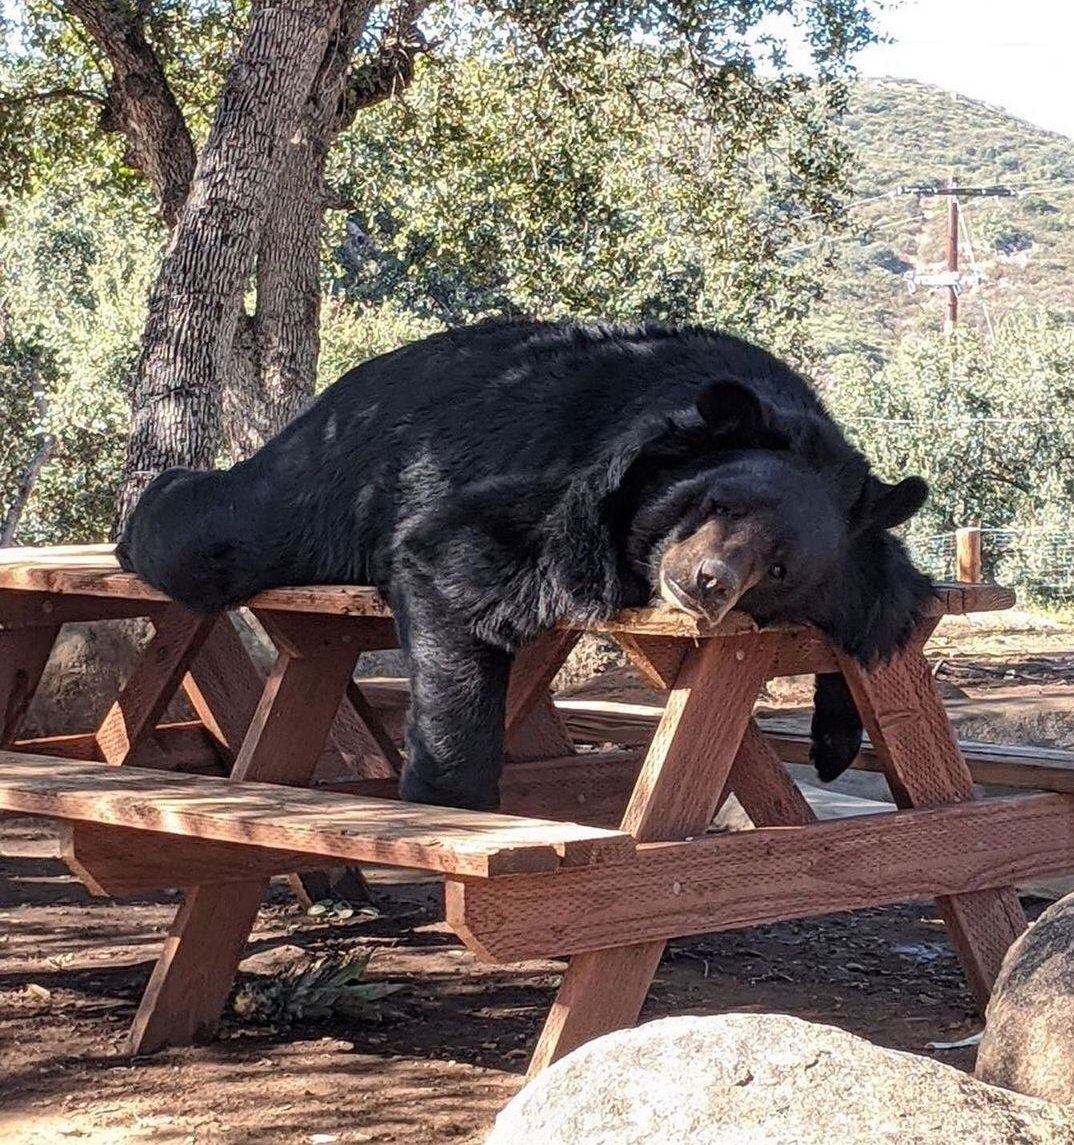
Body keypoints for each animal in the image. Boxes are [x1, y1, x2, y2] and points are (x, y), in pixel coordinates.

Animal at [116, 319, 933, 810]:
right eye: (718, 500)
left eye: (780, 568)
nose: (706, 582)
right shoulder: (567, 487)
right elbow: (457, 564)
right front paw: (449, 798)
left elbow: (884, 607)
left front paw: (836, 739)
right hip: (329, 477)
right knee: (213, 533)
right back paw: (147, 503)